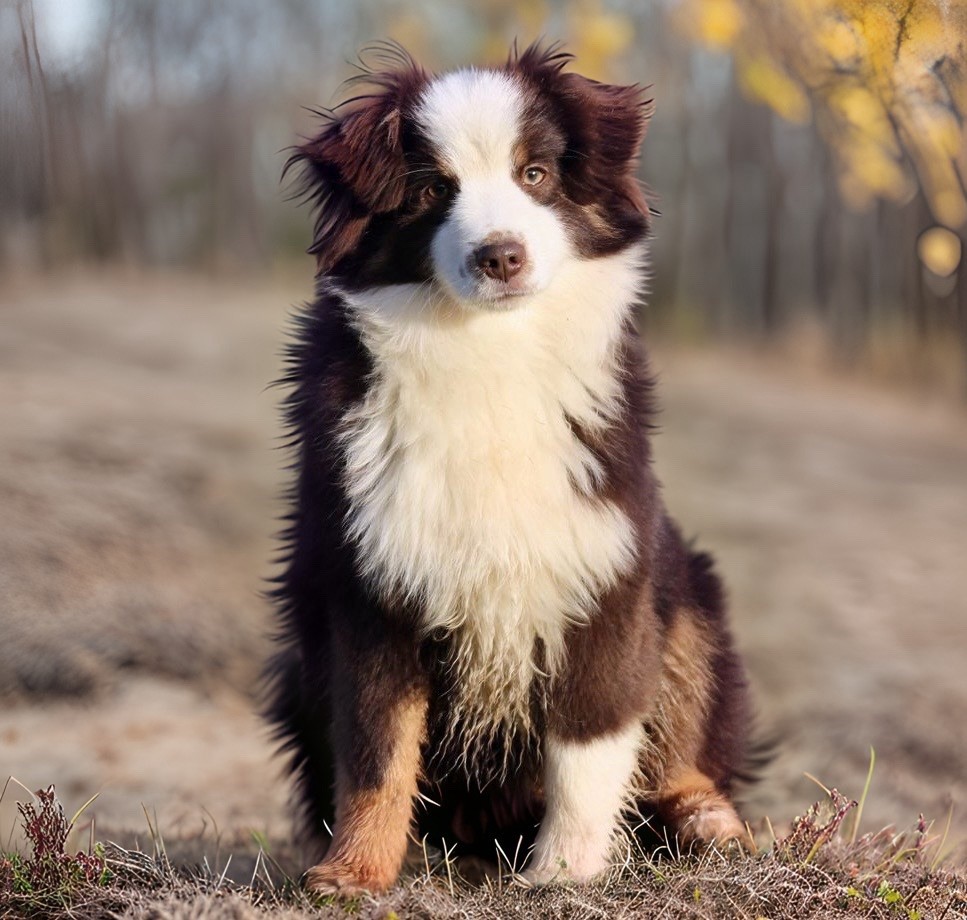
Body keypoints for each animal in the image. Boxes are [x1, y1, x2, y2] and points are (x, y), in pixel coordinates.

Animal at [266, 41, 756, 892]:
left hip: (691, 597)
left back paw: (710, 823)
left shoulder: (602, 569)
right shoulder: (368, 584)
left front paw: (565, 872)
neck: (486, 353)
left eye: (534, 173)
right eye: (433, 188)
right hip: (294, 664)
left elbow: (589, 744)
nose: (500, 255)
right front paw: (353, 872)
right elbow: (376, 747)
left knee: (686, 755)